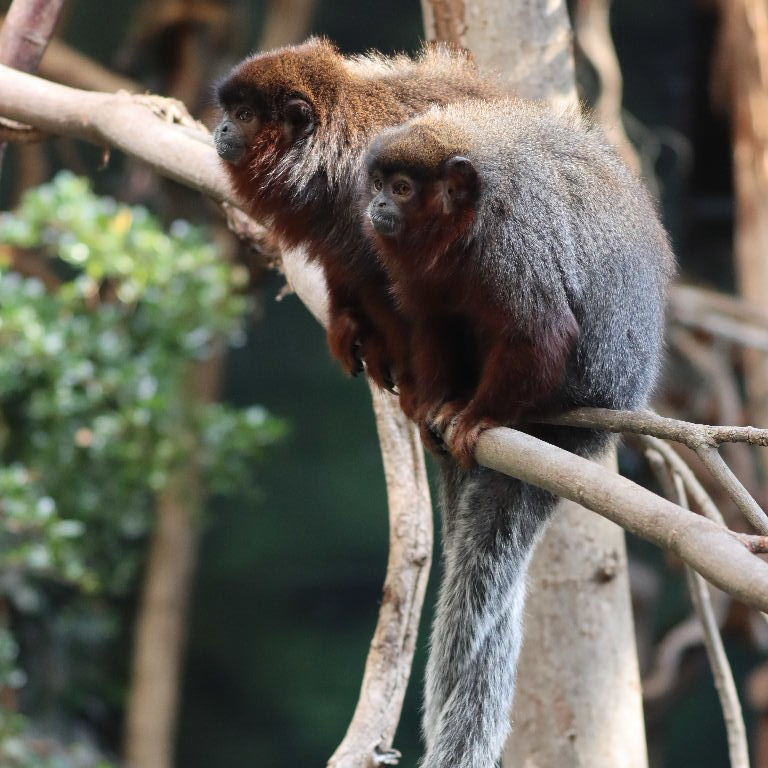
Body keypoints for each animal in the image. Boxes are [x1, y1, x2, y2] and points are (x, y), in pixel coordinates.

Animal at [212, 38, 502, 393]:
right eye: (229, 112)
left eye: (244, 115)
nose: (223, 126)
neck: (326, 154)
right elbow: (344, 266)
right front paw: (348, 321)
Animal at [361, 98, 673, 767]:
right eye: (376, 184)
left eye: (401, 189)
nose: (375, 208)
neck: (463, 230)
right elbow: (434, 319)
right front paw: (435, 403)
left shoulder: (511, 243)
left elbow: (541, 330)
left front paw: (480, 418)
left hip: (592, 384)